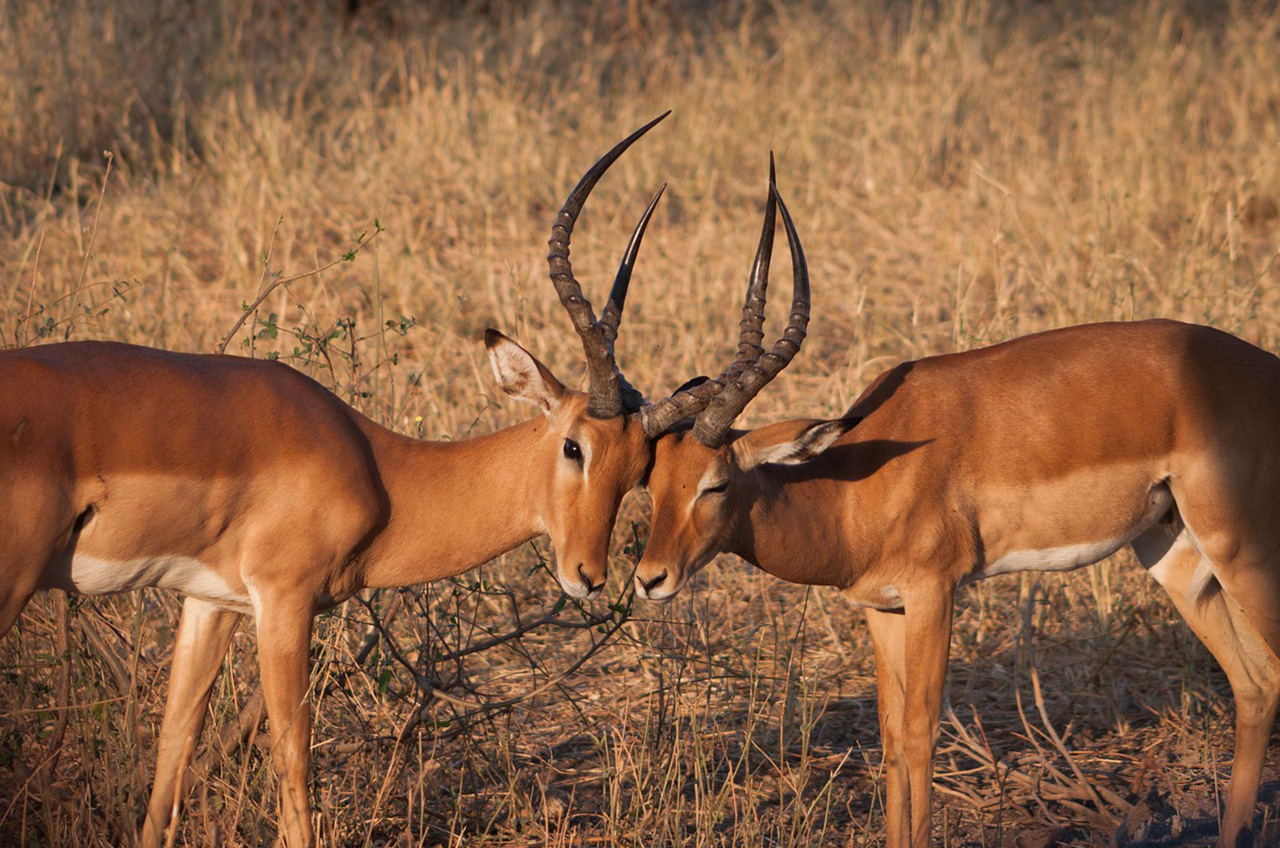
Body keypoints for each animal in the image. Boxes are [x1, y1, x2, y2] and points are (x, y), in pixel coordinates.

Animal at [0, 114, 800, 847]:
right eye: (573, 446)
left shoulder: (210, 600)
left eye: (639, 471)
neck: (377, 467)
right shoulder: (284, 602)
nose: (590, 576)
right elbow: (293, 761)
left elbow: (172, 755)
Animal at [635, 318, 1280, 848]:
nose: (649, 579)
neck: (851, 490)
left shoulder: (934, 593)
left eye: (715, 483)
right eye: (652, 482)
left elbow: (921, 731)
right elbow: (892, 735)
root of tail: (1265, 369)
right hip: (1175, 558)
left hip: (1241, 549)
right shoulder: (882, 608)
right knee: (1255, 684)